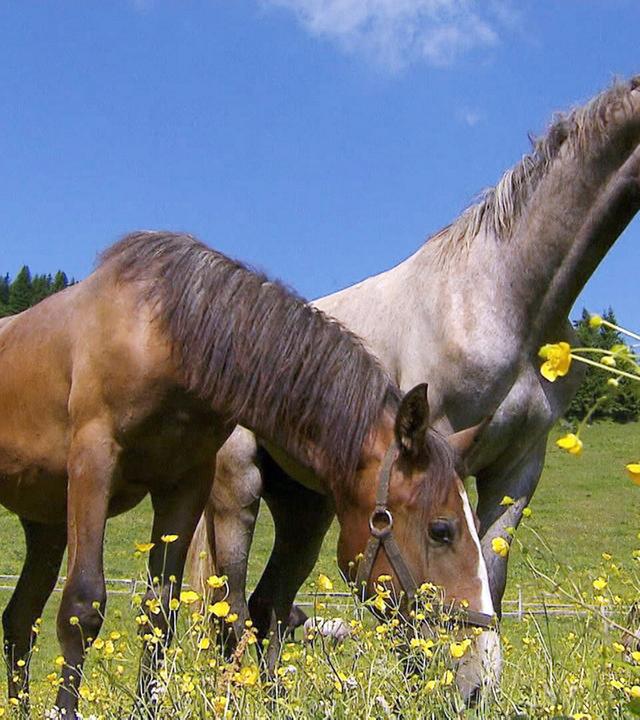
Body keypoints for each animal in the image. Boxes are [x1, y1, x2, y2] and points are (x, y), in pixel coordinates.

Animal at [0, 231, 496, 718]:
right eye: (441, 530)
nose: (479, 676)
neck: (161, 333)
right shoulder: (93, 464)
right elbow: (83, 605)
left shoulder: (185, 485)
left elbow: (159, 614)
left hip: (44, 525)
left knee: (19, 621)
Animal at [187, 74, 640, 659]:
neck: (502, 296)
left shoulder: (518, 468)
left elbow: (486, 580)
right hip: (236, 491)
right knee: (228, 613)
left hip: (306, 507)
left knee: (267, 608)